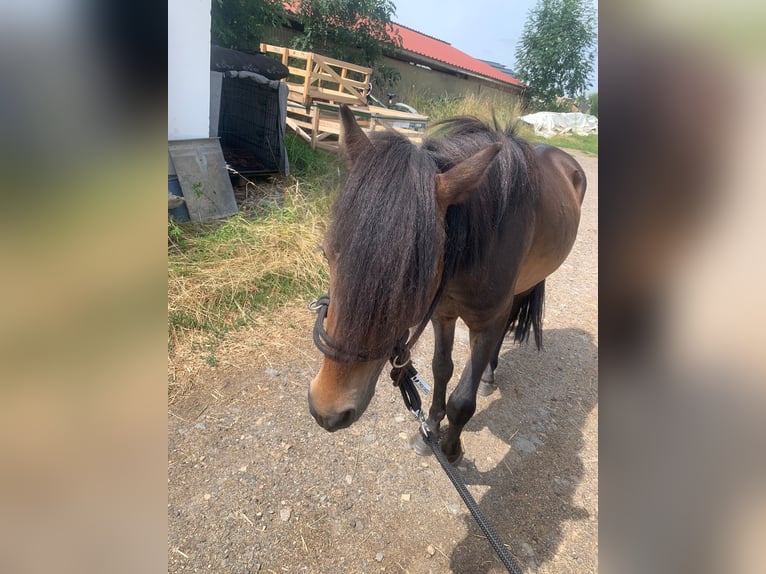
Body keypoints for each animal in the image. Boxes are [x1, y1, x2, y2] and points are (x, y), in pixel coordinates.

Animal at [308, 106, 584, 466]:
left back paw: (488, 376)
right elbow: (442, 369)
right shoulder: (443, 313)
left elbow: (463, 400)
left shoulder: (486, 324)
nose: (327, 409)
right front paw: (431, 431)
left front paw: (451, 449)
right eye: (327, 253)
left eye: (413, 277)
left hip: (525, 286)